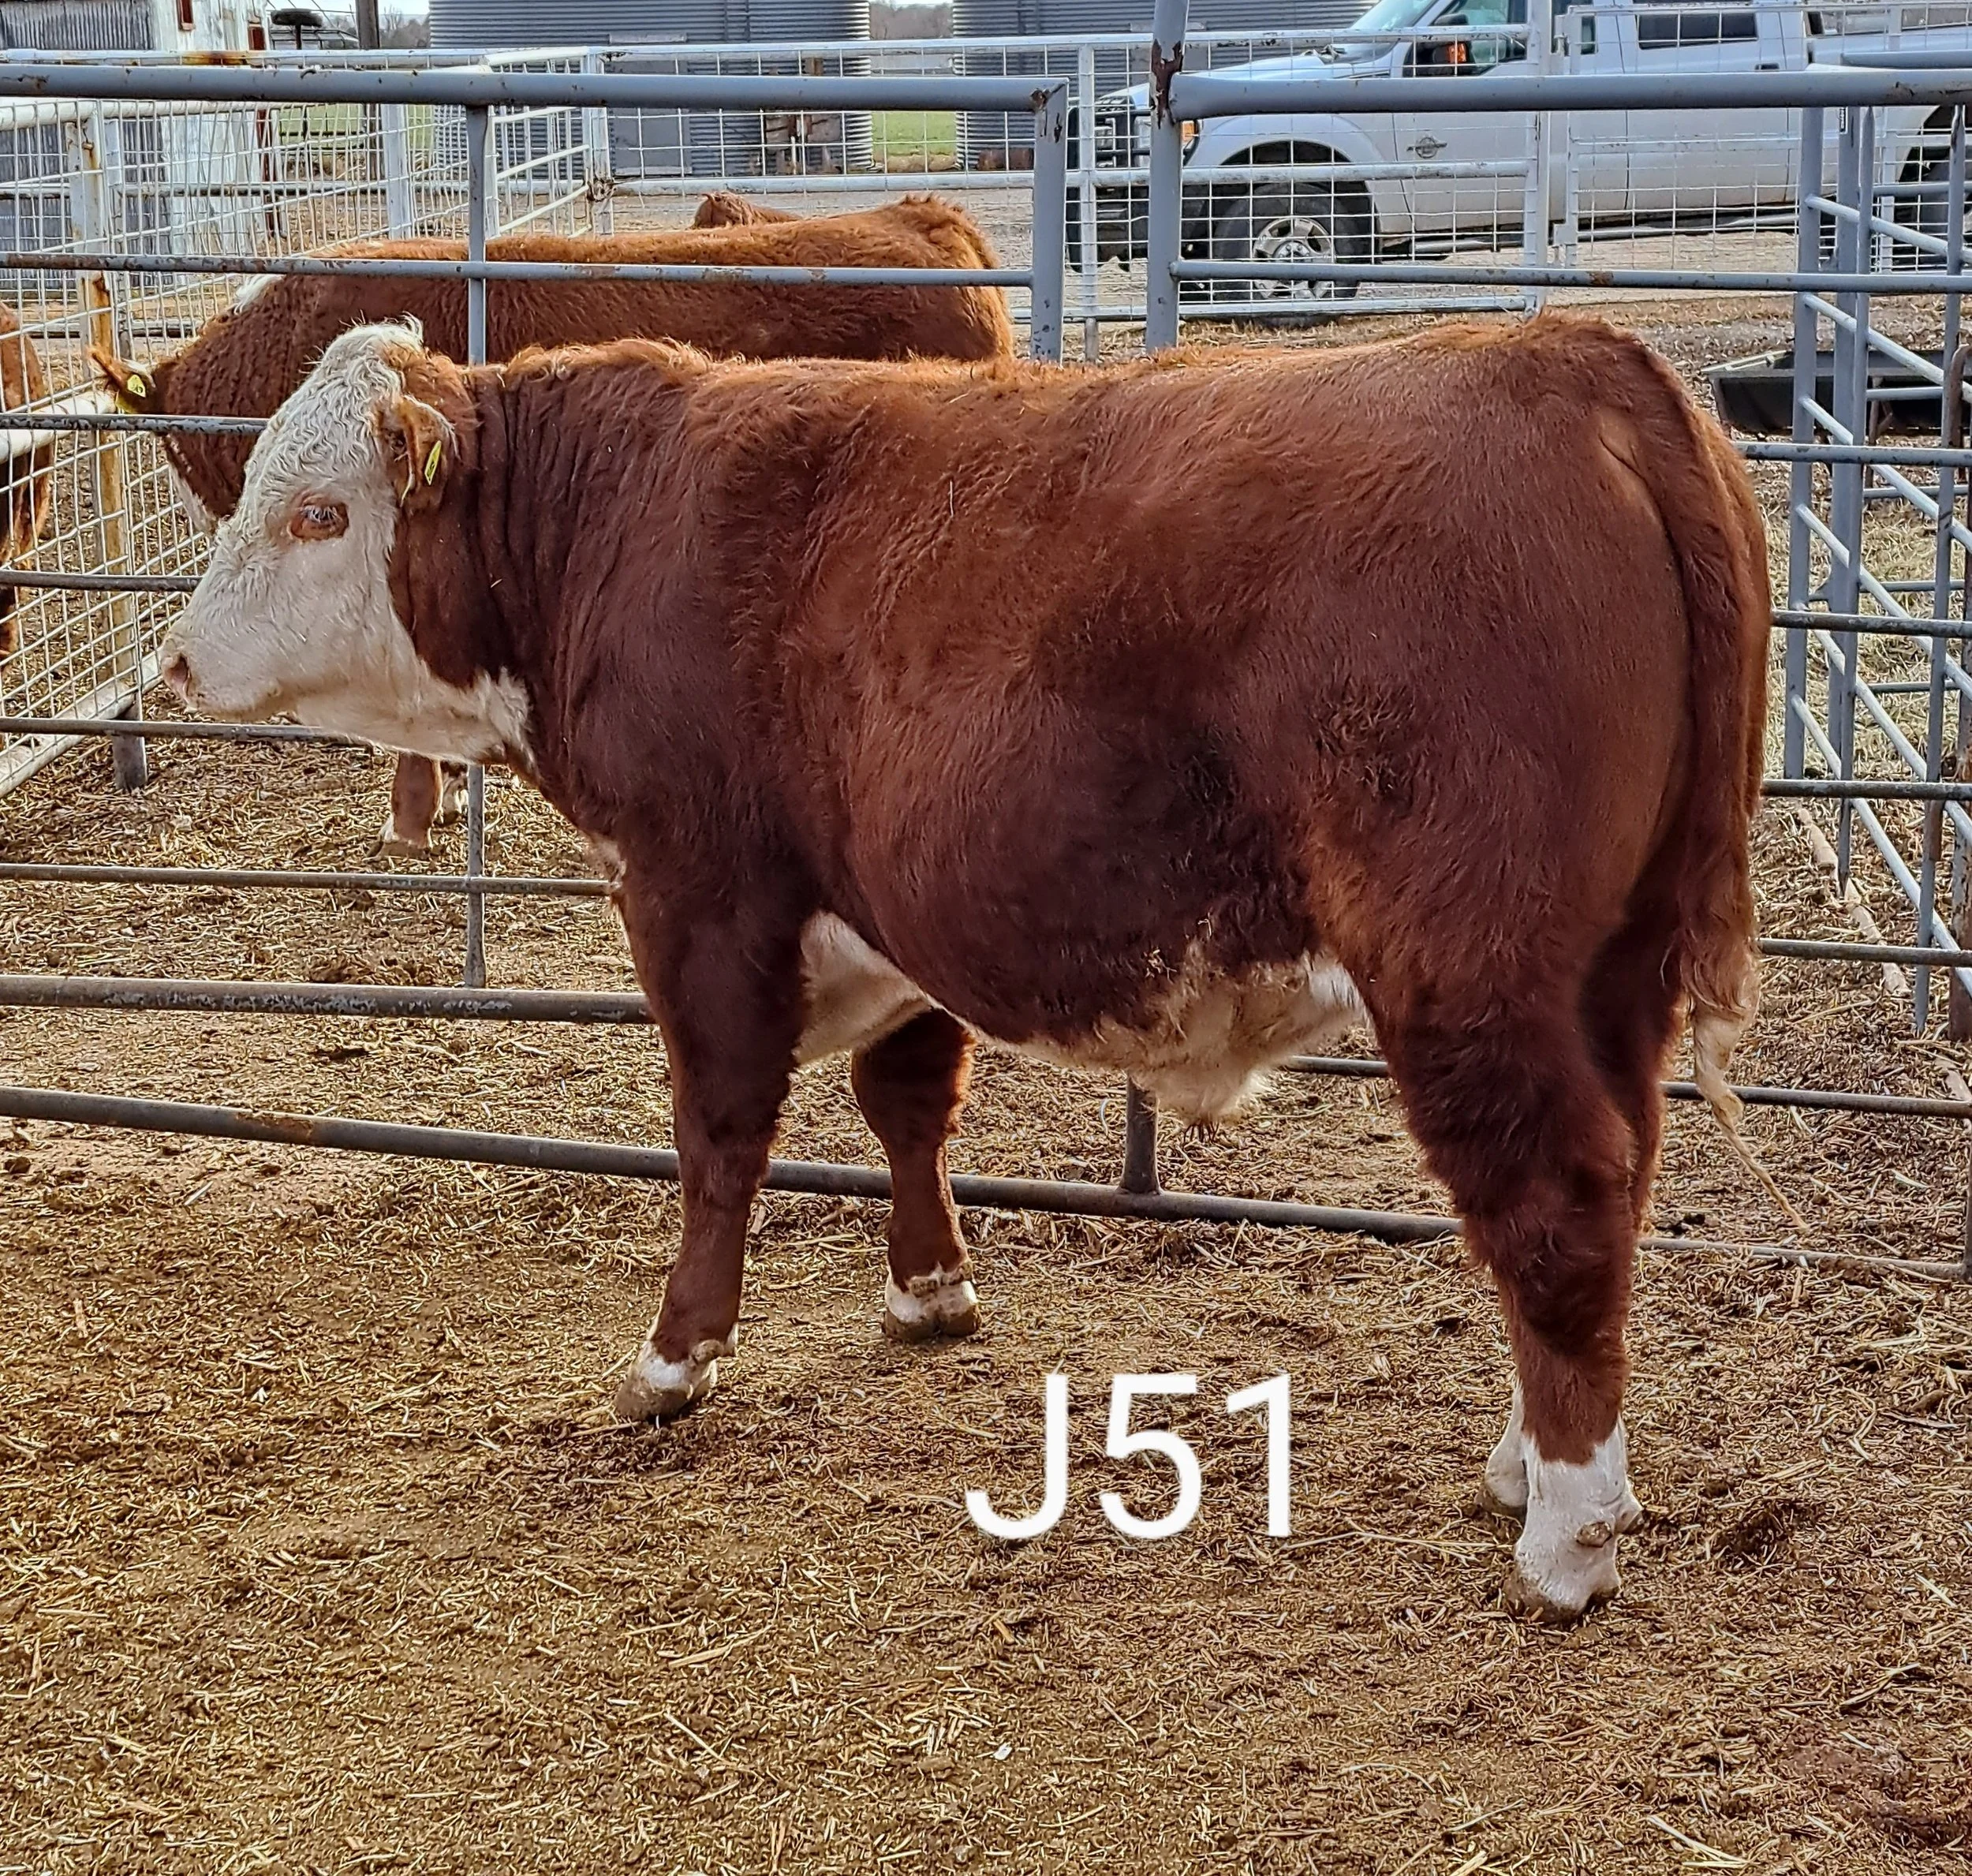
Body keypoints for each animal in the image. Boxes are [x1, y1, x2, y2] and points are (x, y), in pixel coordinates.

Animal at [156, 314, 1770, 1621]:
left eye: (317, 514)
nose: (171, 664)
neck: (613, 525)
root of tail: (1570, 359)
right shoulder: (888, 905)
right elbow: (906, 1098)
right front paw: (931, 1288)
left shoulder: (699, 893)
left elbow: (720, 1132)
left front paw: (676, 1360)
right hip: (1610, 971)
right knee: (1612, 1182)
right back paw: (1522, 1463)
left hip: (1467, 971)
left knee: (1551, 1198)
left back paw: (1566, 1533)